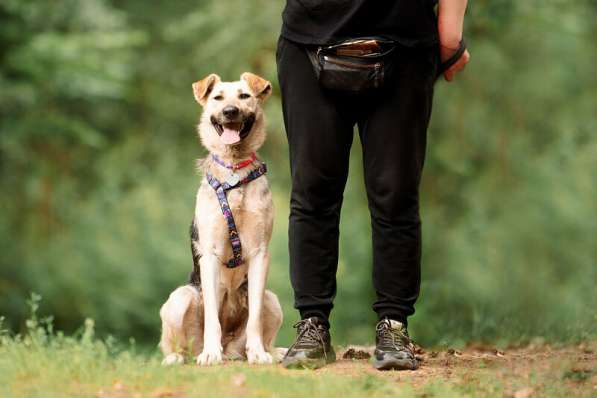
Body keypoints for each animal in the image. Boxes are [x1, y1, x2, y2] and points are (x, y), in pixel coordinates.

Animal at [159, 73, 282, 366]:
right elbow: (213, 318)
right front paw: (210, 353)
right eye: (217, 98)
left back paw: (268, 352)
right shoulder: (211, 255)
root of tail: (230, 350)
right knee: (175, 347)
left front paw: (258, 353)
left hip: (273, 300)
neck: (234, 171)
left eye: (244, 96)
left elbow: (255, 319)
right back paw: (183, 357)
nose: (230, 112)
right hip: (180, 299)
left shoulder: (260, 254)